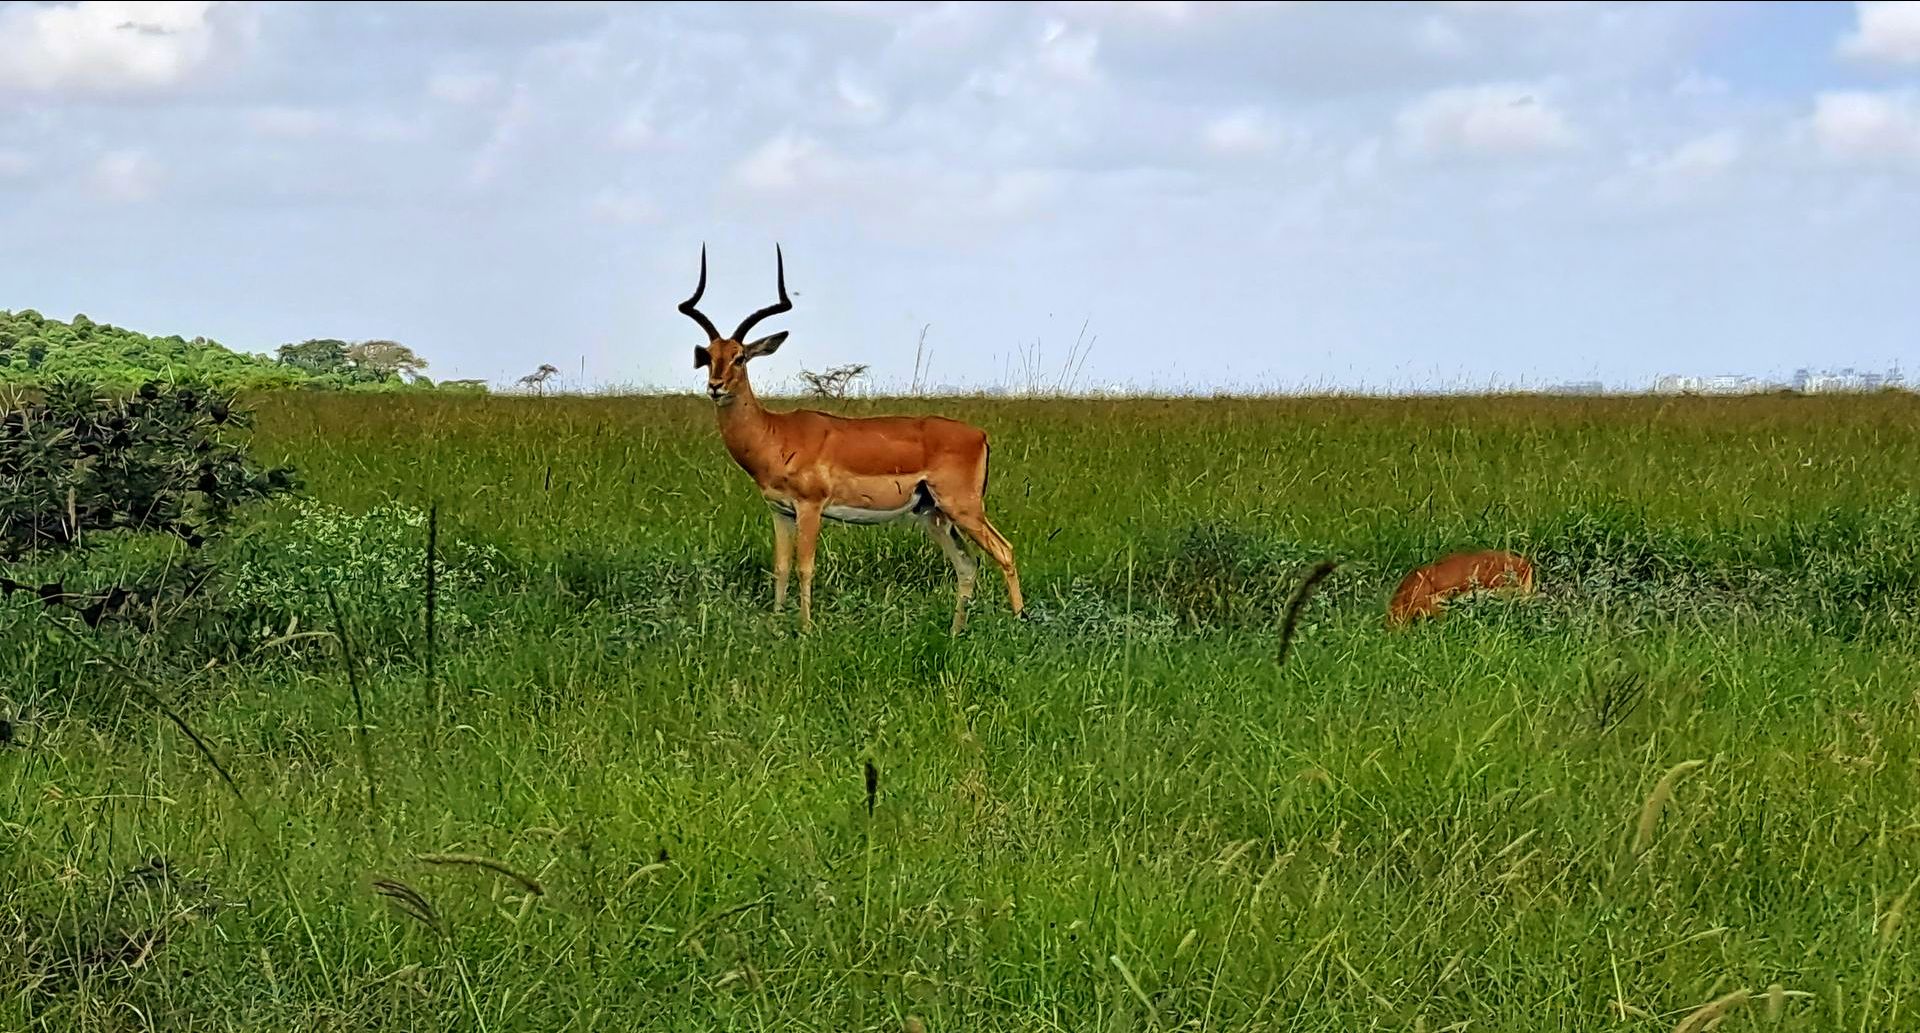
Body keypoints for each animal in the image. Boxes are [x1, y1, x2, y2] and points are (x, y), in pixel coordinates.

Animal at [678, 246, 1024, 634]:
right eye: (710, 356)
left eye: (740, 357)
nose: (716, 386)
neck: (776, 433)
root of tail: (979, 435)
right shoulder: (780, 511)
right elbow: (780, 568)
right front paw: (779, 623)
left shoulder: (810, 507)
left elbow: (805, 567)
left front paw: (806, 628)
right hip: (933, 514)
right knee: (967, 564)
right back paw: (955, 631)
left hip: (962, 508)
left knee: (1005, 551)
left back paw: (1019, 622)